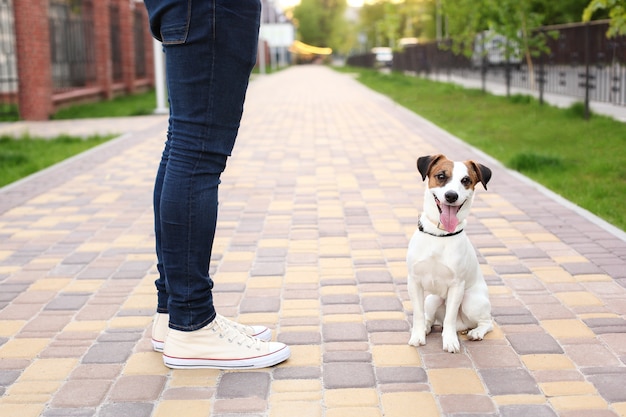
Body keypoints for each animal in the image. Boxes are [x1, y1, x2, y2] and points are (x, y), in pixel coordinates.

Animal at [404, 154, 492, 352]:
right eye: (441, 176)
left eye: (466, 180)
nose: (451, 196)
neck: (440, 234)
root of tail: (463, 326)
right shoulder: (414, 281)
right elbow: (418, 314)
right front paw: (418, 336)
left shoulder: (457, 286)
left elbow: (450, 317)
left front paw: (450, 341)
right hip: (432, 299)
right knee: (430, 317)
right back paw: (427, 327)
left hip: (471, 300)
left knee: (487, 322)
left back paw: (476, 332)